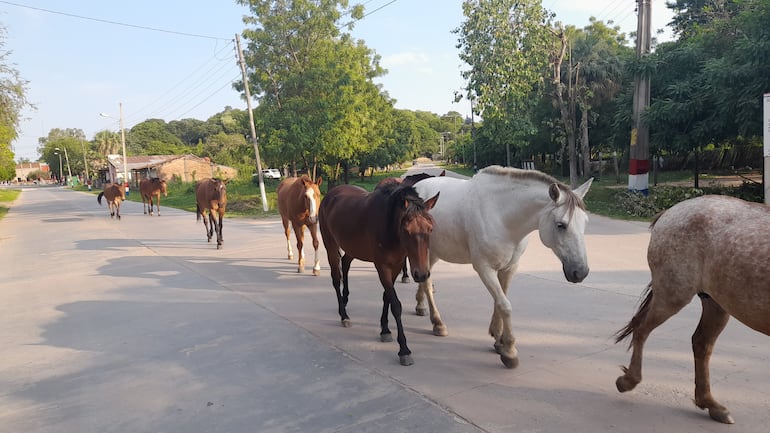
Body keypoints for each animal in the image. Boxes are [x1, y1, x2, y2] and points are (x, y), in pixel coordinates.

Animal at [318, 181, 438, 364]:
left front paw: (385, 329)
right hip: (330, 243)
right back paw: (343, 315)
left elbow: (386, 297)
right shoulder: (382, 266)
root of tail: (330, 194)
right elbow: (395, 304)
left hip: (352, 247)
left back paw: (345, 300)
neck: (388, 225)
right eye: (406, 230)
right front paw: (404, 350)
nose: (422, 274)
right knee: (336, 278)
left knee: (345, 264)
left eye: (430, 229)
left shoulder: (396, 266)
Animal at [414, 165, 588, 368]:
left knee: (424, 280)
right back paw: (438, 323)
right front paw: (510, 351)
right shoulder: (484, 268)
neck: (502, 216)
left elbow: (500, 300)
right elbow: (505, 305)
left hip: (433, 253)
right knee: (427, 283)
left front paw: (498, 339)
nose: (581, 272)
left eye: (585, 223)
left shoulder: (509, 267)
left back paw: (421, 306)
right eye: (561, 225)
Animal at [612, 194, 768, 424]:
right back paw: (629, 380)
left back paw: (711, 404)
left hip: (715, 303)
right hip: (673, 295)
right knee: (641, 329)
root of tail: (670, 212)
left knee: (702, 343)